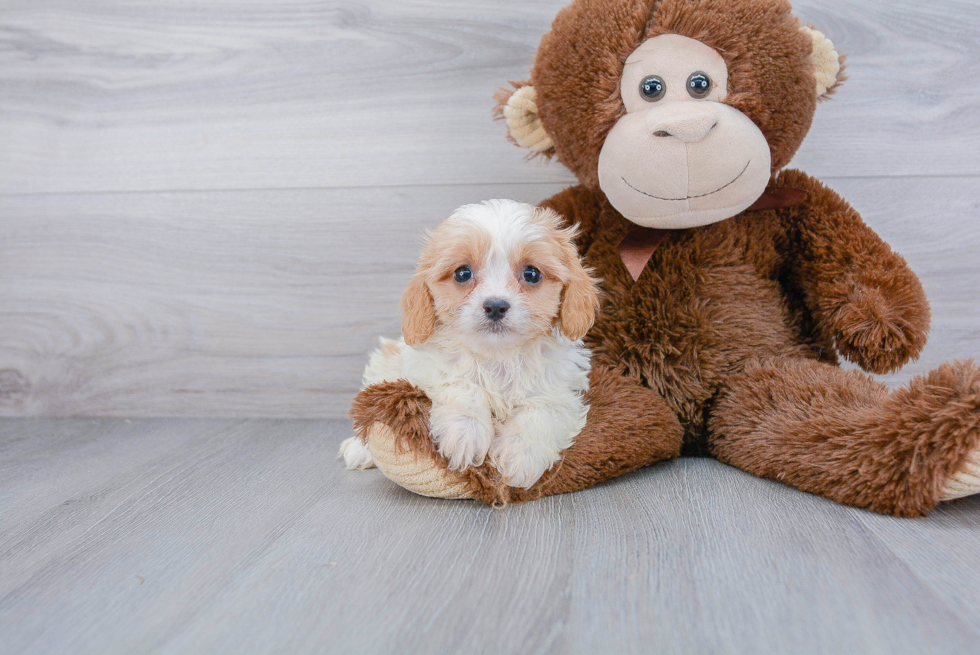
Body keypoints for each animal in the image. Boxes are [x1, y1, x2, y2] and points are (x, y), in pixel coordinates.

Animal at [336, 197, 600, 490]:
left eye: (531, 274)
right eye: (462, 274)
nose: (495, 306)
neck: (497, 355)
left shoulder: (558, 389)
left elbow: (541, 410)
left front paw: (520, 456)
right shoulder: (423, 366)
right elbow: (462, 384)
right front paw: (466, 434)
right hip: (383, 365)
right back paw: (359, 450)